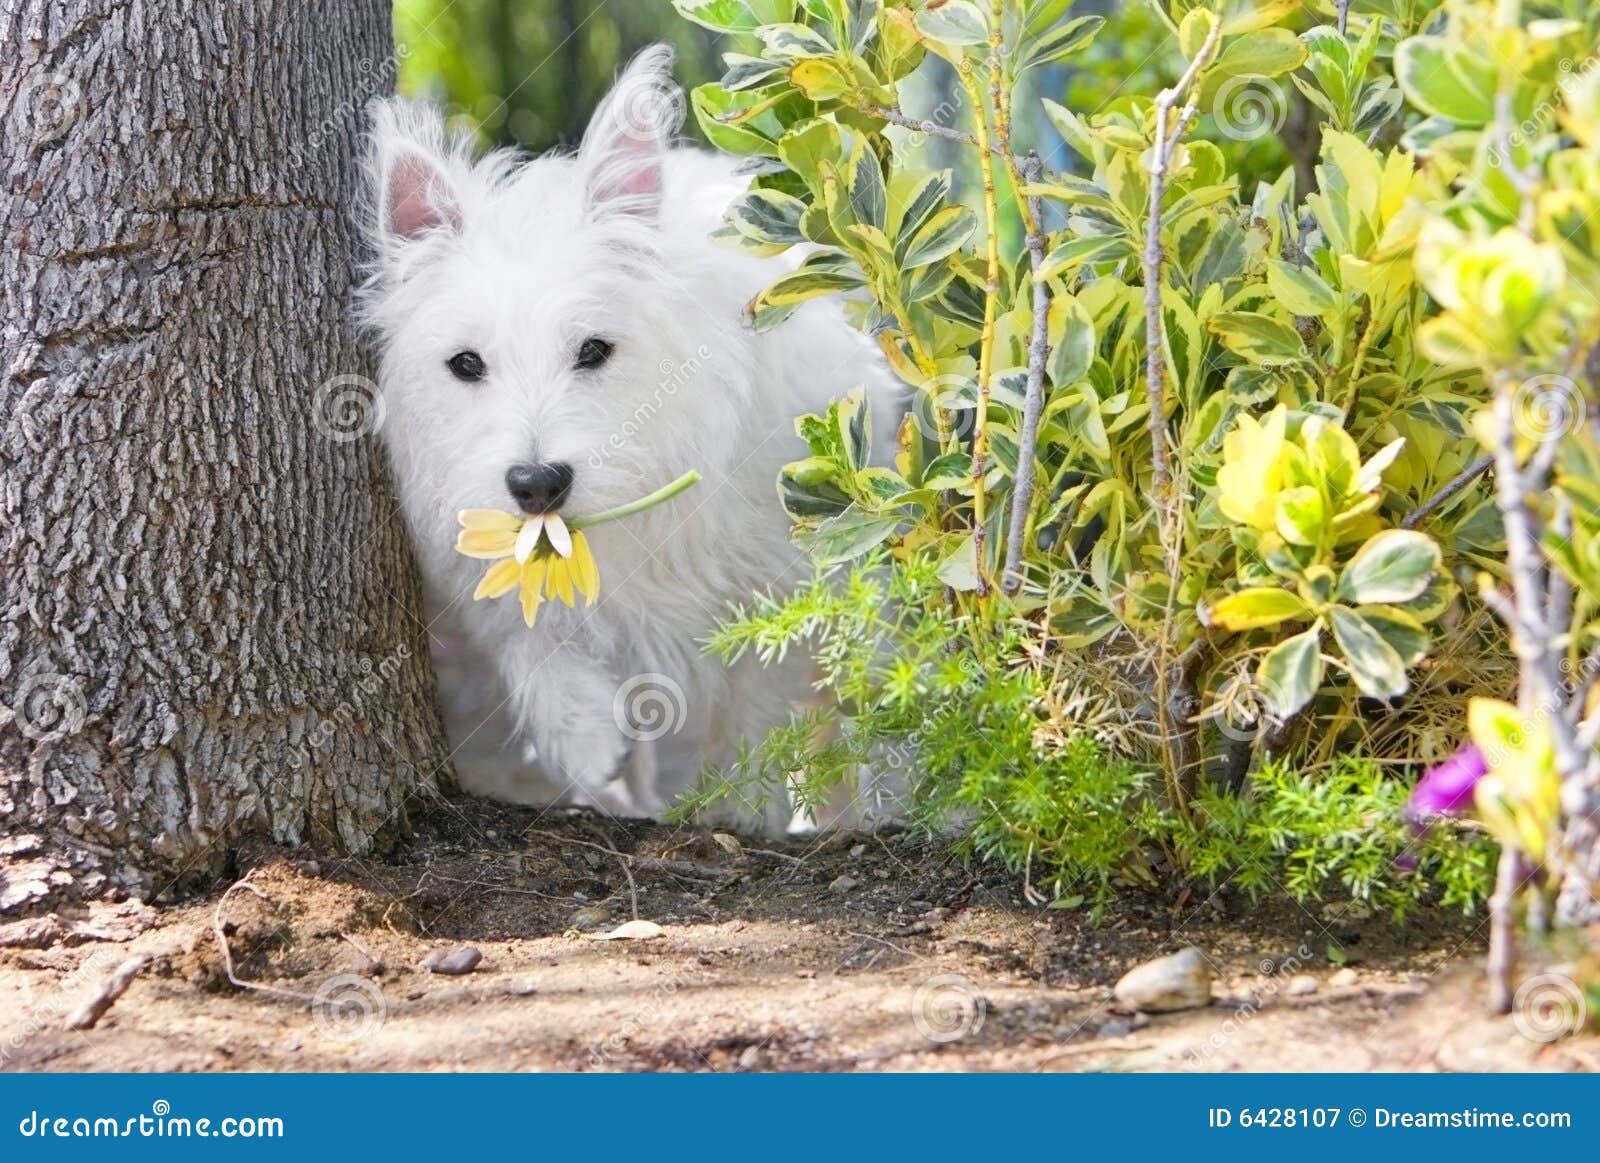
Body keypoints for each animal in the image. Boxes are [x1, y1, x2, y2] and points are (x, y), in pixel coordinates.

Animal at [356, 45, 896, 825]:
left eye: (593, 350)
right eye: (465, 364)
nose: (537, 485)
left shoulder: (774, 583)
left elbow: (754, 710)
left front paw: (736, 810)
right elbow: (523, 629)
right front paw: (584, 740)